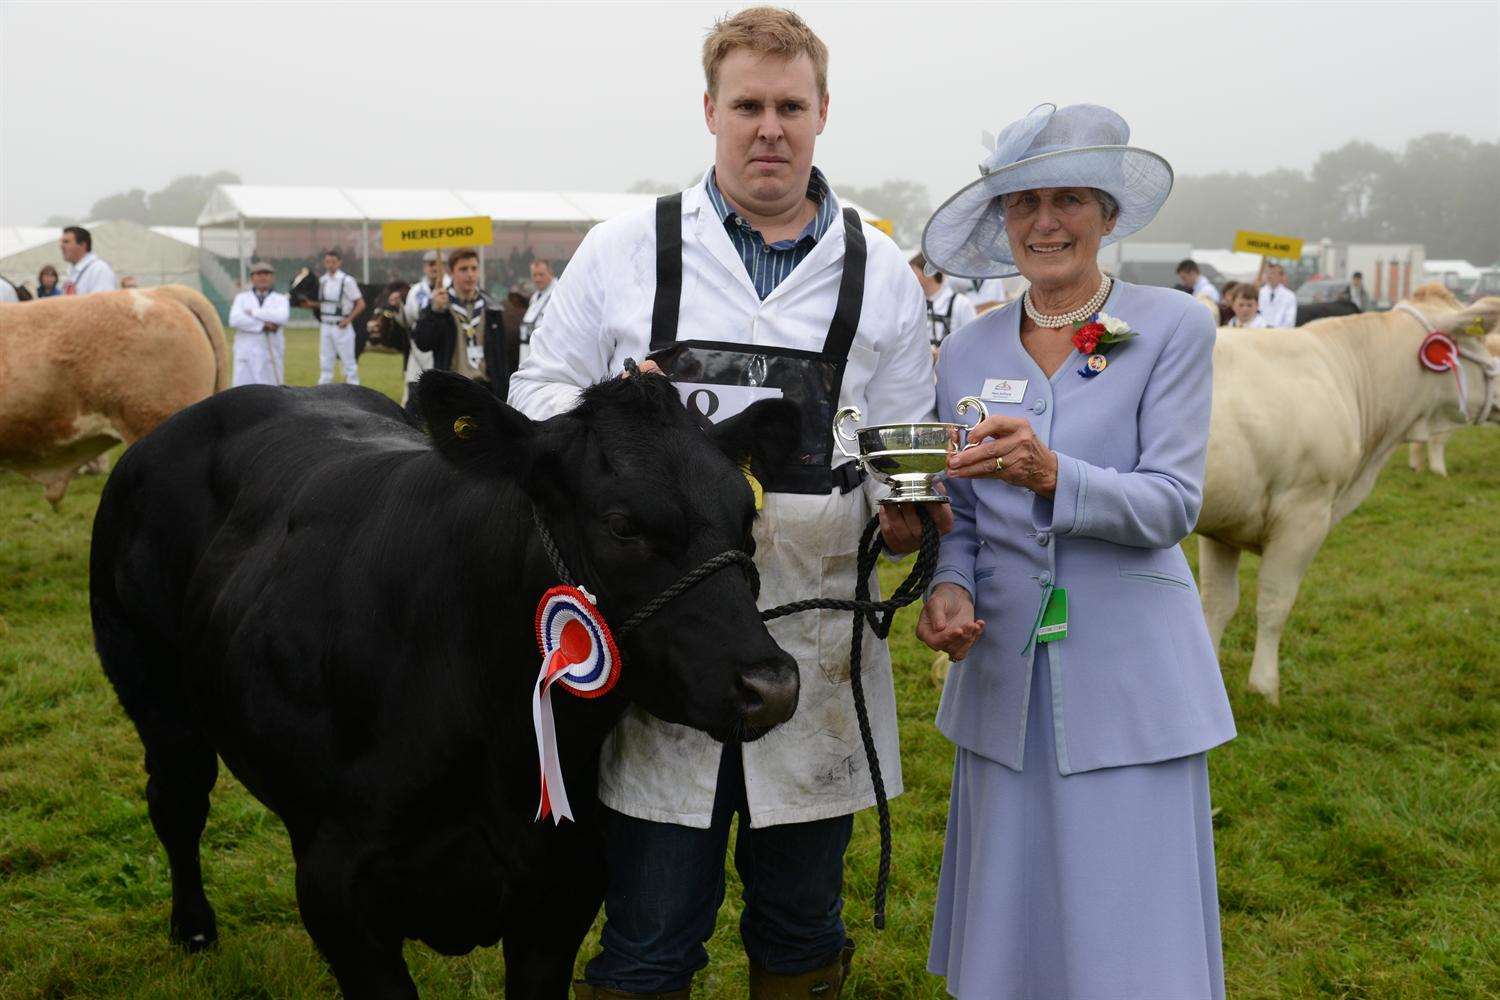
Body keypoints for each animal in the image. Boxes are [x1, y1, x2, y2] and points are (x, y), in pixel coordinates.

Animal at [90, 371, 810, 995]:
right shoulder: (336, 887)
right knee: (177, 802)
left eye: (747, 518)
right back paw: (193, 929)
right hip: (156, 695)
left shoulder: (564, 882)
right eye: (622, 524)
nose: (770, 684)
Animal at [1194, 295, 1500, 704]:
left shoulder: (1224, 523)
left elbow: (1217, 603)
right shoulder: (1305, 513)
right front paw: (1265, 689)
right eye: (1480, 341)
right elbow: (1275, 603)